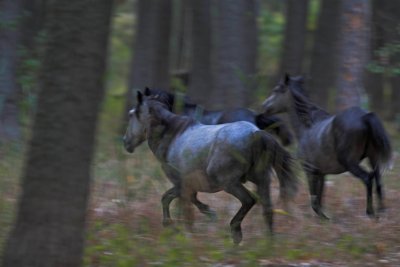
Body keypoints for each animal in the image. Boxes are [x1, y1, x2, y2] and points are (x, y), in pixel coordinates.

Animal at [260, 74, 392, 219]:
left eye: (276, 89)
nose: (263, 107)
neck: (306, 127)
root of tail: (365, 116)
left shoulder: (309, 170)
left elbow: (314, 201)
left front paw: (325, 218)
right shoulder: (321, 173)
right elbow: (320, 198)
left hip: (350, 163)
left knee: (368, 178)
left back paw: (370, 212)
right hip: (373, 158)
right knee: (379, 181)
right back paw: (381, 212)